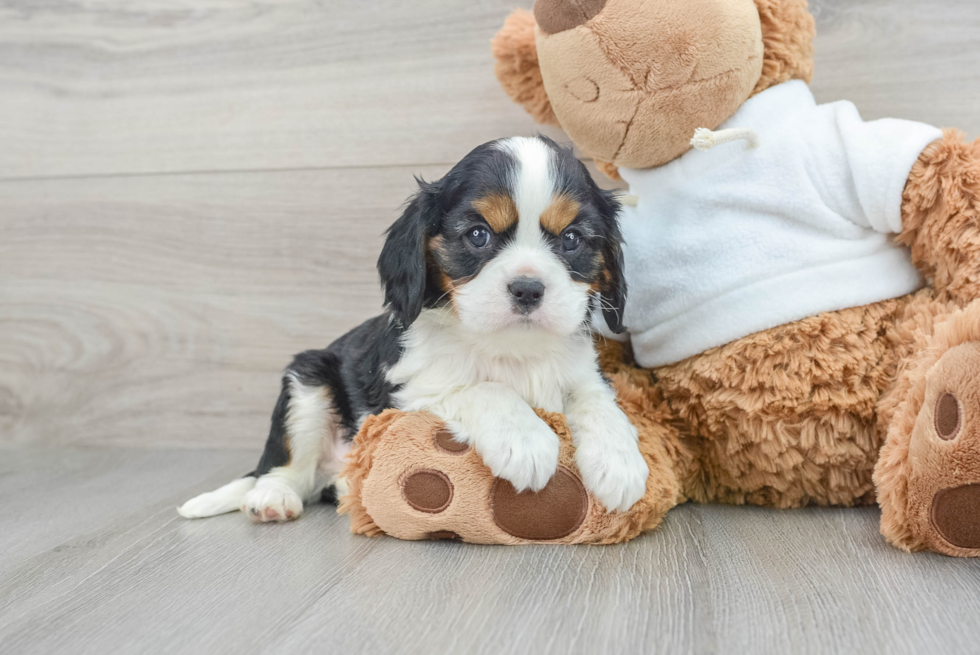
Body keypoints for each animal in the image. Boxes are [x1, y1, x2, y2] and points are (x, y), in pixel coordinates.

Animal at [178, 135, 652, 524]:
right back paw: (272, 498)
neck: (508, 348)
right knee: (286, 467)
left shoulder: (583, 373)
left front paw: (620, 463)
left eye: (571, 239)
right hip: (307, 382)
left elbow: (599, 403)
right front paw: (526, 441)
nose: (528, 289)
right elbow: (483, 388)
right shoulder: (408, 393)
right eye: (477, 235)